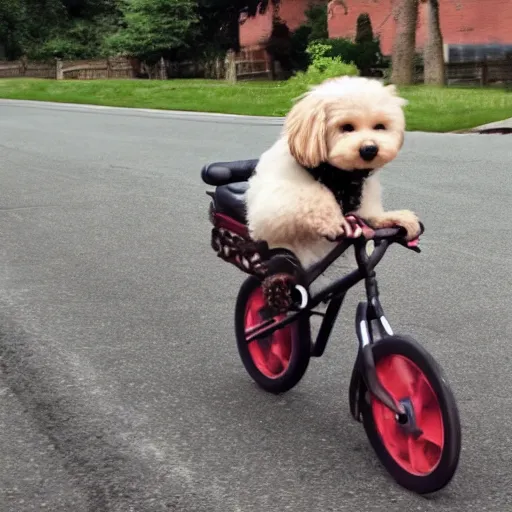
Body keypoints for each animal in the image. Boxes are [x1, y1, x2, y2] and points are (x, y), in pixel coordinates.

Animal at [246, 76, 422, 270]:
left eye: (379, 126)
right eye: (346, 127)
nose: (369, 149)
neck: (337, 174)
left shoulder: (362, 201)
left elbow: (370, 214)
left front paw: (397, 218)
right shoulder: (270, 208)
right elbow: (313, 194)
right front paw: (332, 220)